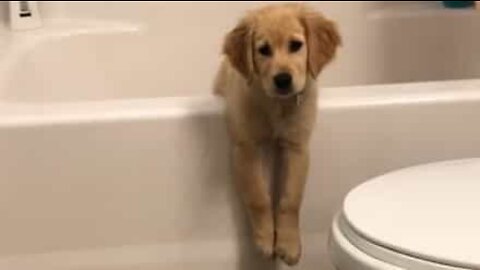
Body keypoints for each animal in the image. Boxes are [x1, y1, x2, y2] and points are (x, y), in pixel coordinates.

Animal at [214, 3, 342, 266]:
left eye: (296, 45)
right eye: (263, 50)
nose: (283, 80)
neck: (277, 105)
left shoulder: (297, 146)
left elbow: (290, 199)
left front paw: (289, 243)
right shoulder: (246, 147)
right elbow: (258, 197)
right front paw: (264, 239)